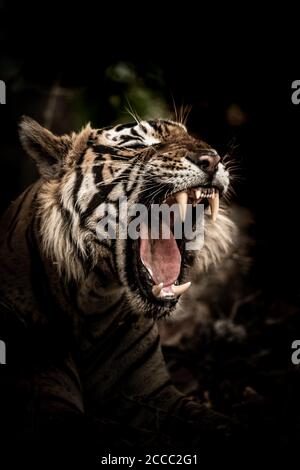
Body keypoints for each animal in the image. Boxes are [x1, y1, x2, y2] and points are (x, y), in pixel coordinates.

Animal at [0, 115, 237, 454]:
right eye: (138, 145)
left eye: (191, 136)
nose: (212, 159)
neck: (92, 299)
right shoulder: (47, 406)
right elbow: (122, 437)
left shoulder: (157, 395)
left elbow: (220, 423)